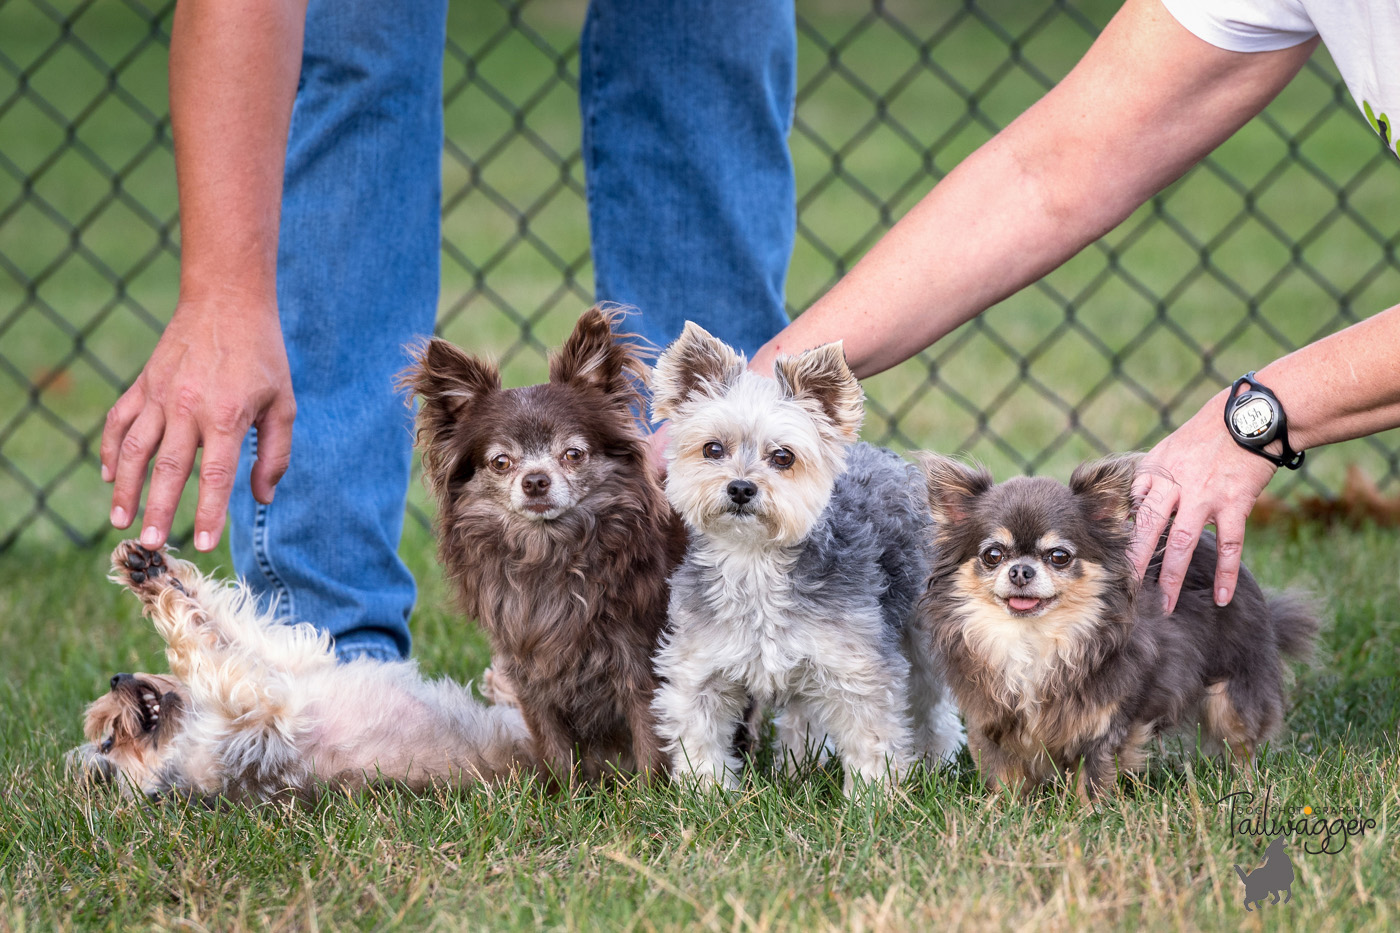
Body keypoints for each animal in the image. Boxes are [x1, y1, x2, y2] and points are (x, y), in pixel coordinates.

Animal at [646, 323, 963, 790]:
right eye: (712, 449)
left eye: (783, 457)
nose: (741, 488)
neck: (756, 564)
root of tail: (888, 457)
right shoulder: (698, 671)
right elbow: (700, 743)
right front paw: (707, 795)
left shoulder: (859, 671)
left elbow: (872, 742)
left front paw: (872, 798)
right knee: (802, 715)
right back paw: (797, 771)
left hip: (921, 637)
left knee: (934, 709)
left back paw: (938, 762)